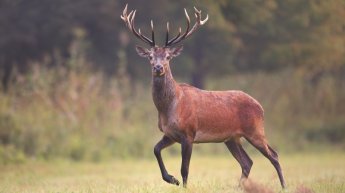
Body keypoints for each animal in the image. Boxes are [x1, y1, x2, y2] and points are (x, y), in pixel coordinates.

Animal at [119, 4, 286, 188]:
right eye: (150, 56)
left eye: (168, 57)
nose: (158, 67)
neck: (168, 109)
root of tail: (260, 106)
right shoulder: (170, 134)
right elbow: (155, 149)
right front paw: (172, 179)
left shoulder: (189, 133)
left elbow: (184, 169)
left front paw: (182, 185)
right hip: (232, 138)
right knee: (247, 162)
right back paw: (239, 187)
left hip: (255, 130)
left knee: (274, 155)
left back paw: (283, 186)